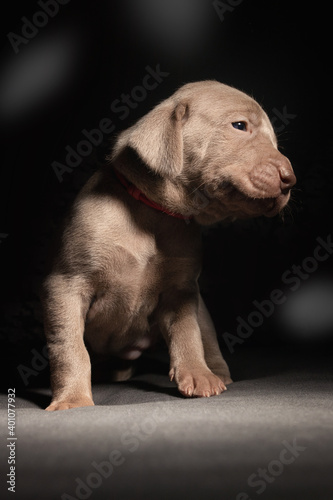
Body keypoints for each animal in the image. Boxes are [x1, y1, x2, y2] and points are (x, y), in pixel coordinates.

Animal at [42, 81, 296, 410]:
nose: (290, 179)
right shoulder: (67, 284)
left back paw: (217, 372)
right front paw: (72, 399)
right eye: (240, 126)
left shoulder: (181, 291)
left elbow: (187, 333)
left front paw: (198, 375)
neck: (153, 215)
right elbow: (70, 347)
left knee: (206, 336)